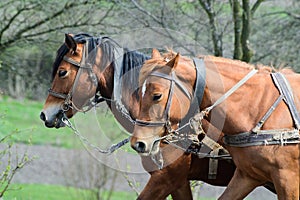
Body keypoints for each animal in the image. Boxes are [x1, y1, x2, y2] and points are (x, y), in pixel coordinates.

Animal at [132, 50, 300, 199]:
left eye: (157, 95)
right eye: (138, 93)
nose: (138, 143)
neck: (259, 106)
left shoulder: (287, 178)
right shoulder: (248, 176)